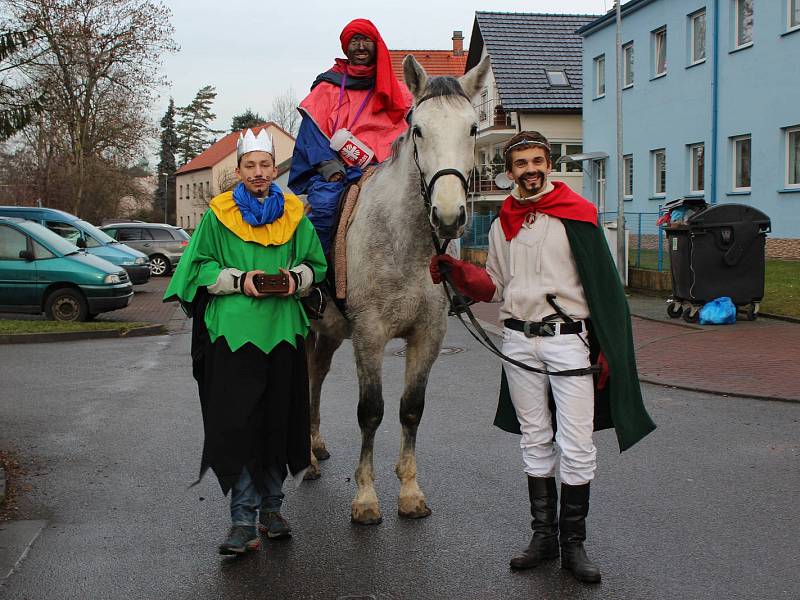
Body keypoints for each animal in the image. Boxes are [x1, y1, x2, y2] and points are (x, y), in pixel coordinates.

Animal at [306, 56, 490, 524]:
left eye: (472, 128)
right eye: (419, 129)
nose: (448, 216)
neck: (405, 242)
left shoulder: (428, 335)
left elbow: (411, 408)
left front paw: (409, 490)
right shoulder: (370, 336)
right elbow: (371, 412)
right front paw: (366, 497)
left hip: (328, 333)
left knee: (315, 374)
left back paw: (314, 446)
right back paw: (307, 458)